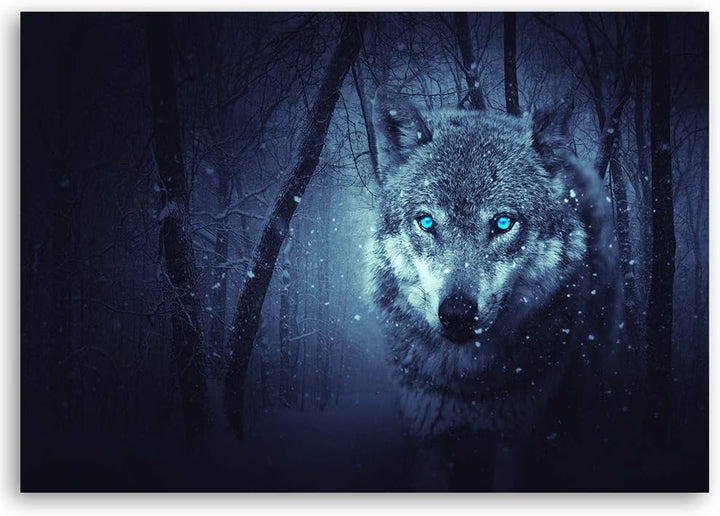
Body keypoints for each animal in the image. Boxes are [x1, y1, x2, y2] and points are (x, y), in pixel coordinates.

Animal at [366, 88, 618, 490]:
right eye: (426, 222)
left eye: (502, 223)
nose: (456, 313)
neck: (468, 384)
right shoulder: (428, 442)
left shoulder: (513, 441)